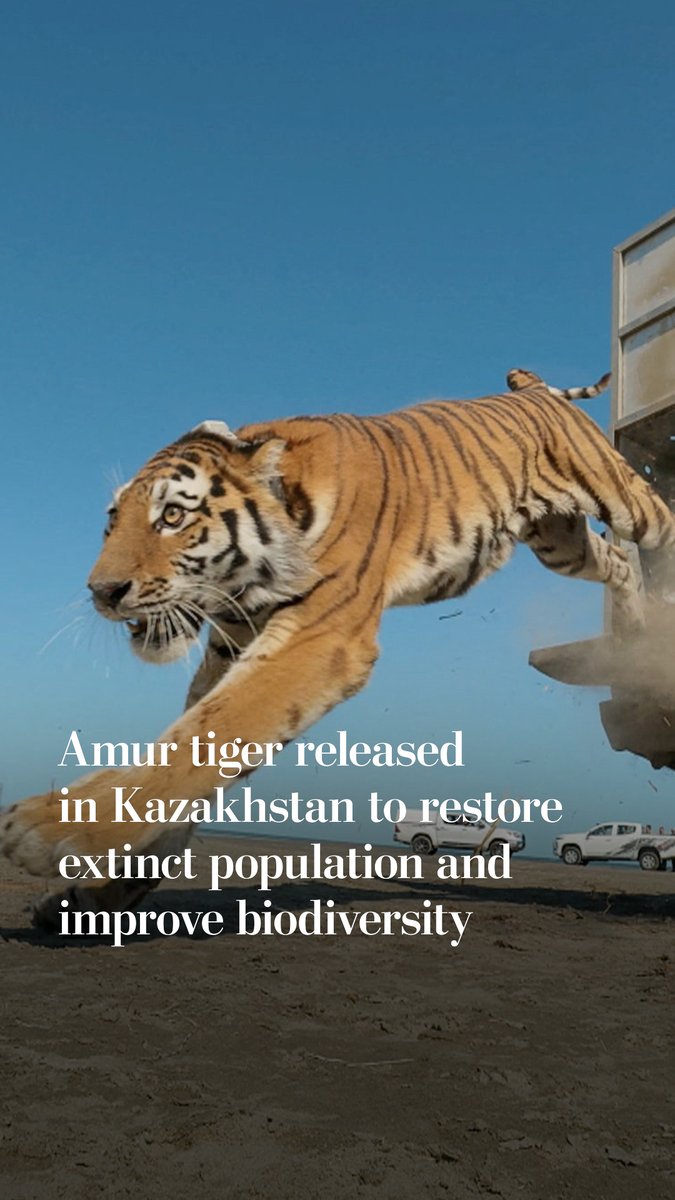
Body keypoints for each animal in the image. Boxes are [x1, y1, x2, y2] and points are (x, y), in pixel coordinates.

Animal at [2, 368, 674, 928]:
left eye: (172, 517)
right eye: (111, 521)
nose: (102, 592)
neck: (248, 580)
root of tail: (532, 389)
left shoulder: (319, 638)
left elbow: (206, 734)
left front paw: (46, 828)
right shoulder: (229, 652)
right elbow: (196, 751)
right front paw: (94, 901)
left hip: (619, 495)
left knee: (658, 526)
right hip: (559, 540)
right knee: (617, 563)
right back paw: (634, 636)